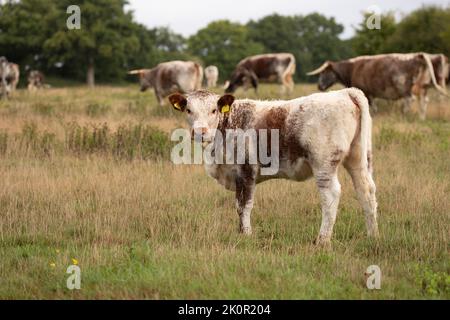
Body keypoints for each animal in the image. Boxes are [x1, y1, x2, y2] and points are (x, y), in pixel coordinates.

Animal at [169, 87, 376, 245]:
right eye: (188, 110)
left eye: (214, 110)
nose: (200, 132)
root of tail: (345, 92)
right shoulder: (237, 175)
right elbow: (238, 205)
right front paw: (240, 232)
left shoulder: (247, 170)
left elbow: (245, 205)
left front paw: (246, 234)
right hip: (358, 158)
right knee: (366, 191)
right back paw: (372, 236)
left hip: (324, 163)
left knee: (331, 196)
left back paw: (322, 240)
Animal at [308, 52, 448, 120]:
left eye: (324, 72)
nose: (319, 86)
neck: (353, 68)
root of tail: (418, 56)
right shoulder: (371, 94)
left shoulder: (366, 93)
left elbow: (372, 108)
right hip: (423, 87)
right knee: (424, 101)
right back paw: (421, 118)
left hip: (405, 87)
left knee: (410, 100)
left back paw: (405, 116)